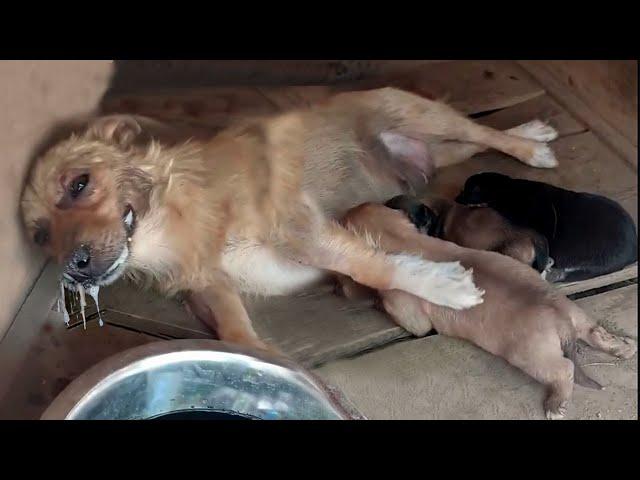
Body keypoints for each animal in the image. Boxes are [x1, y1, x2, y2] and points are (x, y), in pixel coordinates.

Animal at [338, 202, 636, 420]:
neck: (402, 239)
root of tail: (560, 319)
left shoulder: (409, 314)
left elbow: (403, 316)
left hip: (531, 356)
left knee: (564, 369)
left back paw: (555, 405)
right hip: (576, 315)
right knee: (596, 333)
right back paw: (625, 348)